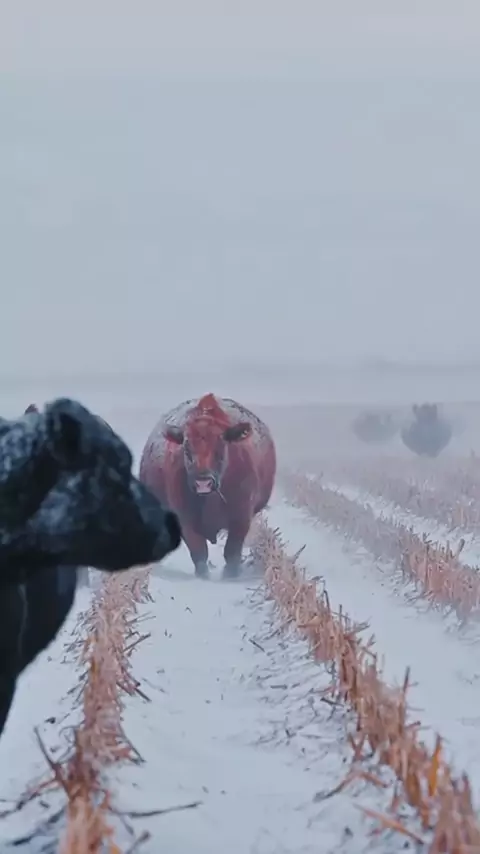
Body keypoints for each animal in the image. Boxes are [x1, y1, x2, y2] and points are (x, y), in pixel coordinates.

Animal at [139, 393, 277, 579]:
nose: (203, 482)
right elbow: (199, 552)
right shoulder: (185, 519)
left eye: (221, 446)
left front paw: (230, 576)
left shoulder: (241, 518)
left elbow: (232, 552)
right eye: (187, 449)